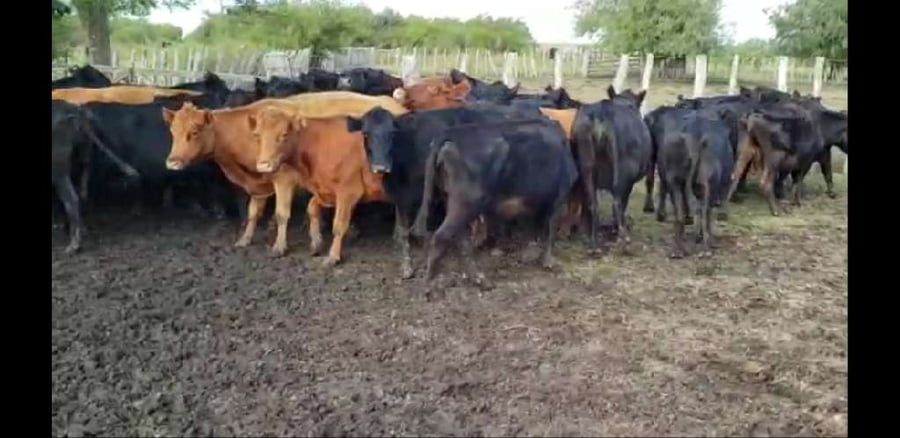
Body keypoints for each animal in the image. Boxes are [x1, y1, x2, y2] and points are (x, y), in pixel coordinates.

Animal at [410, 118, 577, 284]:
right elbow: (550, 230)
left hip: (452, 201)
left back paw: (478, 278)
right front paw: (547, 261)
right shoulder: (559, 196)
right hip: (465, 204)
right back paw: (429, 282)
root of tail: (447, 133)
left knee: (462, 240)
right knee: (440, 237)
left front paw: (530, 254)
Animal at [572, 86, 653, 251]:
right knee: (617, 202)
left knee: (592, 203)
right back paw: (622, 239)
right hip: (623, 173)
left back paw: (593, 243)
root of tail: (602, 114)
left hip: (586, 166)